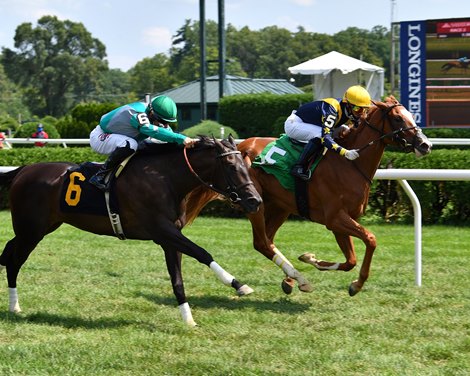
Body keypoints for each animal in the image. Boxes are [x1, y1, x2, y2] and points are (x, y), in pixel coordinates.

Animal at [0, 136, 262, 326]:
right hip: (31, 231)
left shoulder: (169, 237)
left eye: (246, 164)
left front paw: (188, 319)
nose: (255, 200)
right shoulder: (162, 230)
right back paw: (14, 306)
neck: (165, 178)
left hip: (39, 228)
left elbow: (177, 280)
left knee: (8, 250)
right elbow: (202, 253)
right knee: (14, 262)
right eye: (231, 166)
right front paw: (238, 284)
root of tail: (23, 170)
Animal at [185, 97, 434, 296]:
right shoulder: (335, 218)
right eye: (398, 119)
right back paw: (298, 279)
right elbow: (370, 240)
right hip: (255, 203)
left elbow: (350, 260)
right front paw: (355, 283)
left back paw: (290, 279)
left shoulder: (342, 221)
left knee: (268, 240)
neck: (349, 166)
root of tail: (241, 146)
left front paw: (314, 260)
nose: (426, 144)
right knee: (262, 242)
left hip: (280, 206)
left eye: (411, 115)